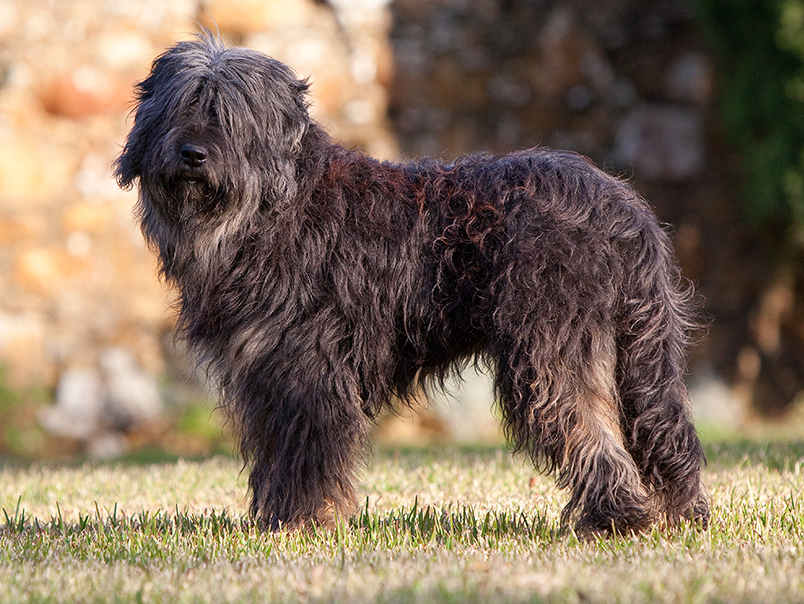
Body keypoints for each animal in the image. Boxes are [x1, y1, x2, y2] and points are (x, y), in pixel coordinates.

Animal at [114, 34, 708, 532]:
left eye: (228, 115)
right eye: (182, 106)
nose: (192, 154)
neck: (272, 209)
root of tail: (622, 207)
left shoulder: (306, 369)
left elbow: (305, 453)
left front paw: (300, 523)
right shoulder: (266, 375)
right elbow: (276, 452)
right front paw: (275, 521)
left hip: (550, 352)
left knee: (592, 430)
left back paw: (615, 520)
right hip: (636, 351)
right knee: (661, 433)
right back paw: (674, 515)